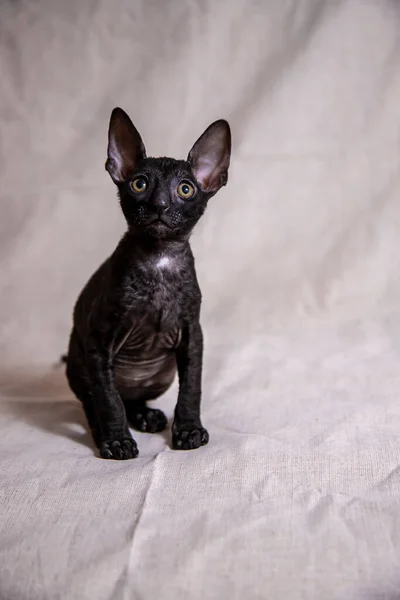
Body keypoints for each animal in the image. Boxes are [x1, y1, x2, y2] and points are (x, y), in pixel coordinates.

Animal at [64, 106, 230, 460]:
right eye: (139, 184)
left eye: (185, 189)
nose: (159, 205)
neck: (159, 259)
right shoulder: (100, 342)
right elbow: (108, 401)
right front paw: (117, 441)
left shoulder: (192, 334)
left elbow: (192, 388)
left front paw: (188, 430)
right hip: (81, 363)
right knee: (99, 402)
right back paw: (107, 432)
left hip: (160, 374)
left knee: (131, 398)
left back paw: (145, 415)